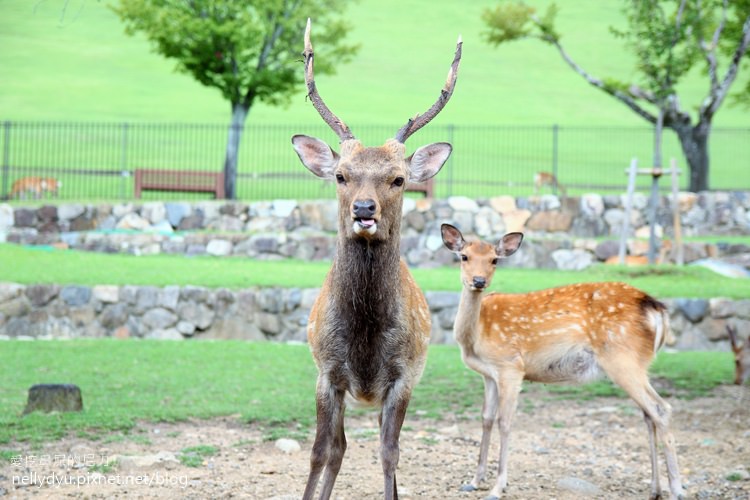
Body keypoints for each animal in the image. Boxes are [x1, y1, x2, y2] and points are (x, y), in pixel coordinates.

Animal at [292, 19, 462, 500]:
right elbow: (319, 452)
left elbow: (390, 454)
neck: (364, 334)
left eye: (399, 178)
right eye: (340, 175)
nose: (364, 209)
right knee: (339, 447)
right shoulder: (326, 371)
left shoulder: (405, 375)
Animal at [444, 224, 692, 500]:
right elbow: (486, 419)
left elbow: (504, 422)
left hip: (622, 357)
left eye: (494, 260)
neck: (475, 335)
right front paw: (474, 480)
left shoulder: (511, 366)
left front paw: (498, 487)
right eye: (464, 256)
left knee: (661, 408)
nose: (478, 281)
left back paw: (677, 489)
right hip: (639, 362)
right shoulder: (489, 374)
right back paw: (655, 490)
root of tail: (657, 310)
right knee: (648, 414)